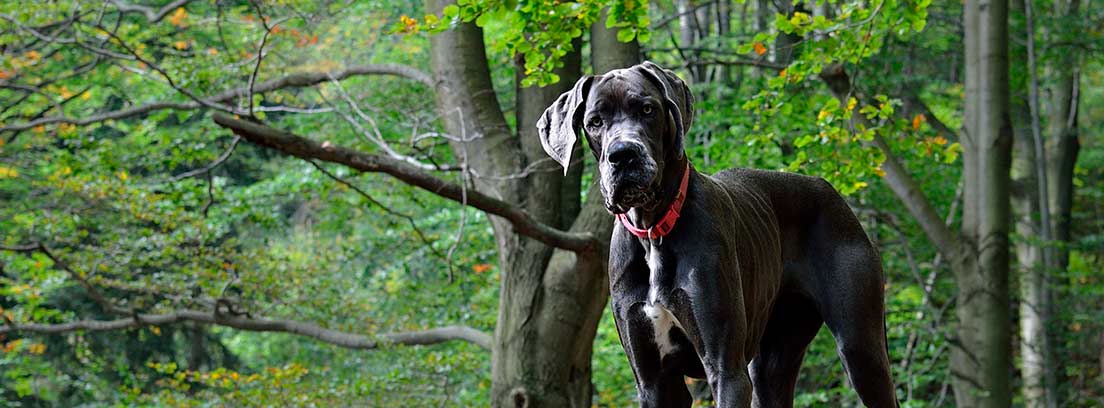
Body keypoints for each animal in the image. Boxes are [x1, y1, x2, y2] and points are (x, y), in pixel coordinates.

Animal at [536, 62, 896, 405]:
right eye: (595, 121)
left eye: (648, 109)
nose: (623, 154)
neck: (653, 231)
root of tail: (831, 192)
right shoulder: (654, 382)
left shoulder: (727, 371)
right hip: (772, 363)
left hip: (861, 349)